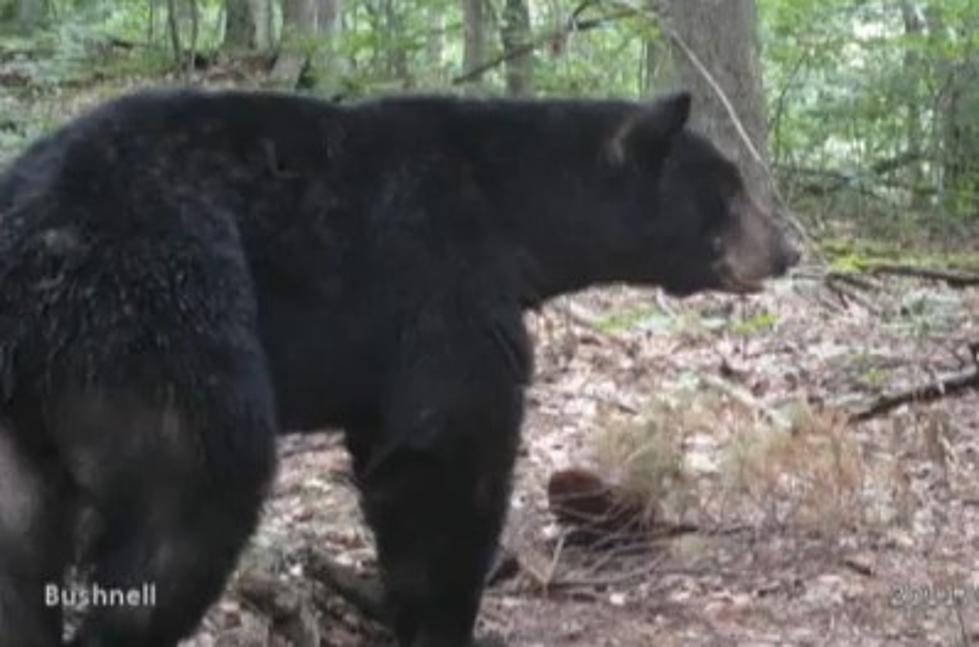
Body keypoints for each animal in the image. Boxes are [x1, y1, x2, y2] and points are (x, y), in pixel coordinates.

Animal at [0, 88, 796, 644]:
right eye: (727, 192)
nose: (788, 249)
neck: (513, 204)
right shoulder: (438, 272)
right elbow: (449, 451)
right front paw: (443, 618)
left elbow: (392, 447)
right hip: (156, 315)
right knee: (189, 497)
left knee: (22, 549)